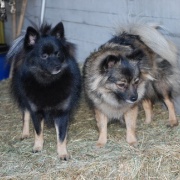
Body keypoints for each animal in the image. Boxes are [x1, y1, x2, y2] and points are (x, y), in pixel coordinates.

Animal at [7, 21, 81, 160]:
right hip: (25, 99)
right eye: (44, 56)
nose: (57, 66)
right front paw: (38, 147)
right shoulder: (36, 111)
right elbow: (38, 131)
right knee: (25, 115)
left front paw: (62, 153)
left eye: (58, 54)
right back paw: (25, 133)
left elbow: (61, 136)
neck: (48, 81)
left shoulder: (62, 113)